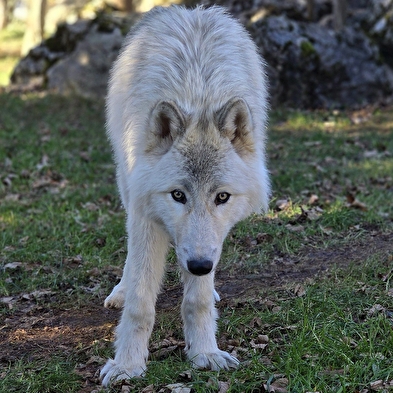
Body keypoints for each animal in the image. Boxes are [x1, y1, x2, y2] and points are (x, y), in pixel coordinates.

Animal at [99, 4, 268, 384]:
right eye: (178, 195)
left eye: (222, 197)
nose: (201, 266)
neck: (198, 93)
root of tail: (192, 11)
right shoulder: (146, 216)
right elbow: (140, 303)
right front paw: (127, 364)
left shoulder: (209, 241)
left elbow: (197, 300)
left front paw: (204, 353)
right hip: (127, 187)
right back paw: (122, 290)